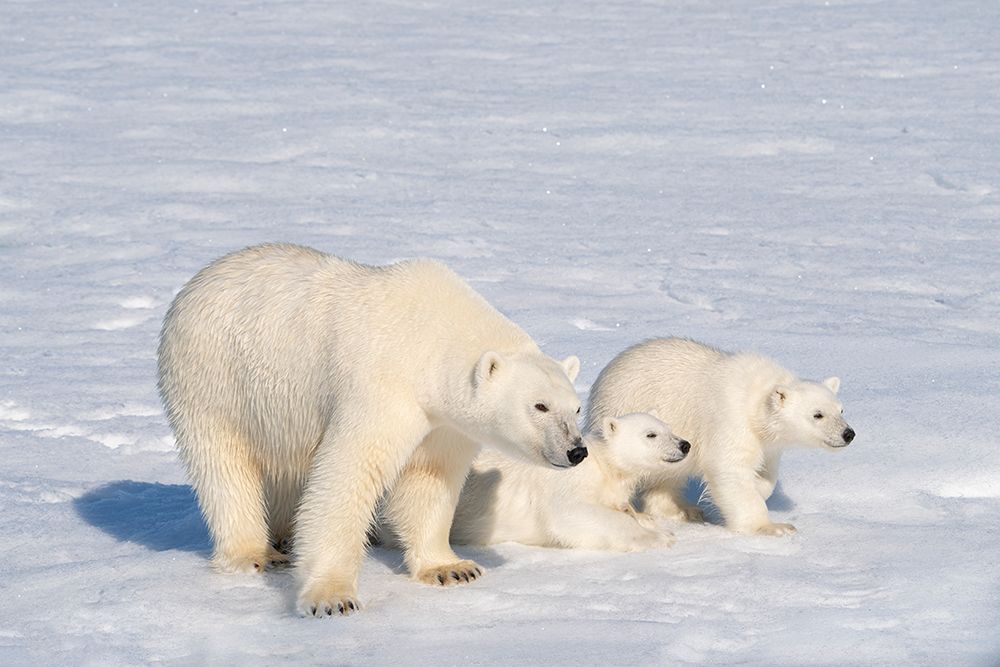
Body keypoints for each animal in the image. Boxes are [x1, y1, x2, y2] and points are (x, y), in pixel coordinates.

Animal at [156, 243, 587, 617]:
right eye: (540, 405)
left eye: (576, 407)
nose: (576, 451)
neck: (433, 336)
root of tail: (201, 277)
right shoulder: (382, 386)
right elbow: (349, 472)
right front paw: (332, 597)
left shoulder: (442, 422)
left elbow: (429, 478)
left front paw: (452, 568)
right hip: (214, 379)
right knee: (224, 467)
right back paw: (256, 554)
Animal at [449, 412, 689, 551]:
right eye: (651, 434)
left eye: (669, 428)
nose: (684, 445)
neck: (602, 465)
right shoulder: (570, 481)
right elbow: (570, 512)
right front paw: (660, 537)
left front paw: (646, 518)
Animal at [586, 338, 855, 536]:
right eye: (817, 414)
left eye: (841, 410)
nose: (848, 434)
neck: (755, 400)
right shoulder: (731, 419)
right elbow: (729, 468)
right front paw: (772, 527)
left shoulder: (767, 443)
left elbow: (766, 472)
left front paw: (758, 488)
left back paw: (683, 510)